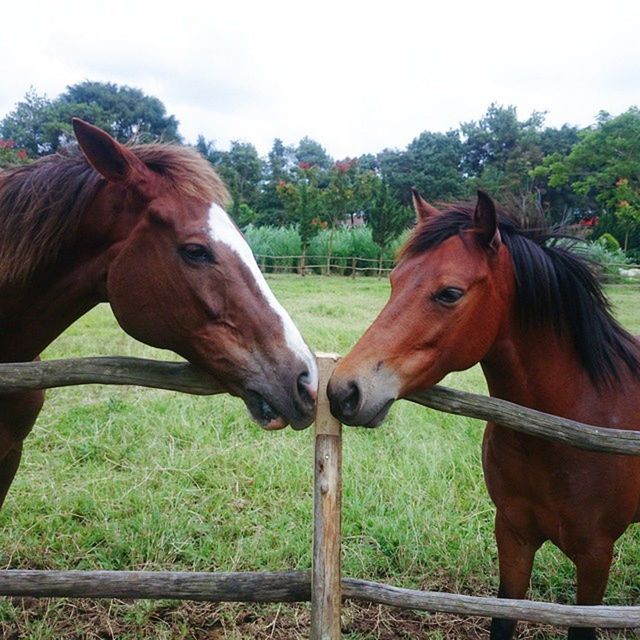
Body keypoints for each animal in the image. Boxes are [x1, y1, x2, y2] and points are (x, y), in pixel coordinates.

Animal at [328, 191, 640, 640]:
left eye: (450, 293)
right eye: (394, 281)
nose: (344, 391)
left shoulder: (596, 555)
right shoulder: (512, 535)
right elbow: (503, 617)